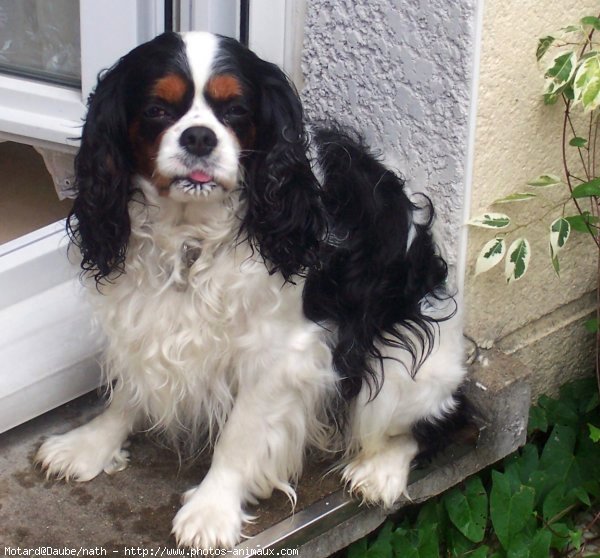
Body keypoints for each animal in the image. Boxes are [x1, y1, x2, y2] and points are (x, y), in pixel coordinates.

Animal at [36, 31, 468, 552]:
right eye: (157, 109)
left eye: (236, 110)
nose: (199, 137)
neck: (191, 236)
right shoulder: (144, 317)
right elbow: (128, 391)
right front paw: (92, 443)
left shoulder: (280, 352)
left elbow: (239, 437)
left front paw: (211, 510)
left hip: (406, 358)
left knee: (436, 422)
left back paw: (379, 470)